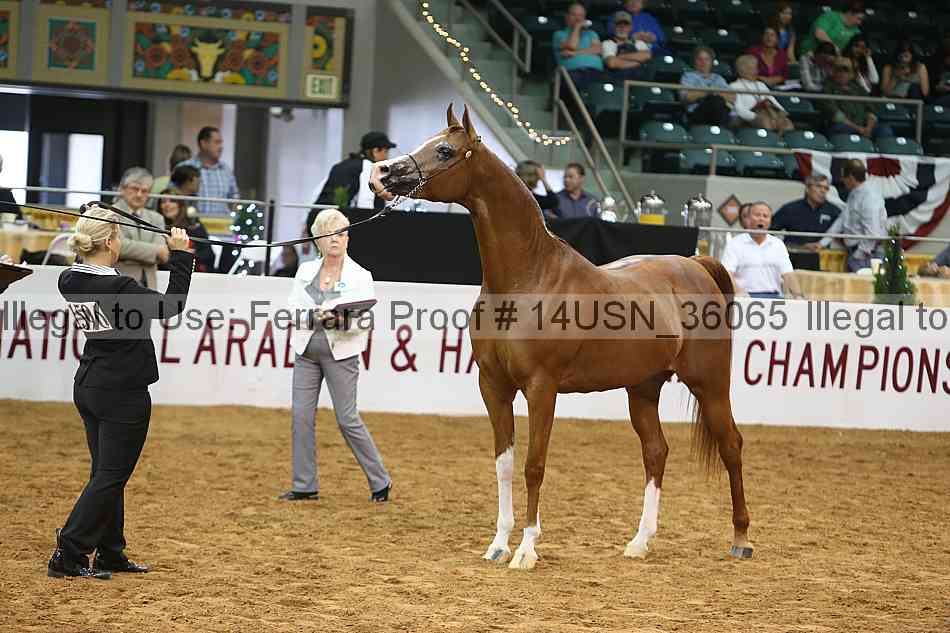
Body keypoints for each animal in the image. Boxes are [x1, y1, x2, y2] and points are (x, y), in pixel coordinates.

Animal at [369, 105, 752, 570]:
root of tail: (695, 265)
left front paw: (527, 550)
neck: (528, 279)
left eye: (444, 150)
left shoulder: (541, 388)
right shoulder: (493, 386)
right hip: (643, 388)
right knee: (656, 452)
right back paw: (639, 541)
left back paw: (740, 537)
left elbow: (534, 465)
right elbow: (504, 464)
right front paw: (498, 544)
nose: (382, 173)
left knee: (731, 445)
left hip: (709, 383)